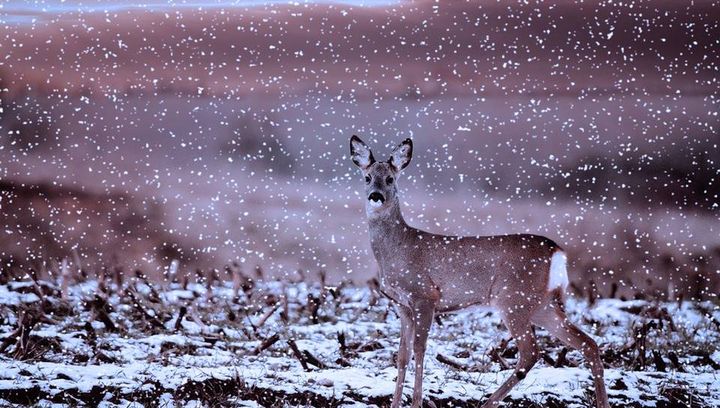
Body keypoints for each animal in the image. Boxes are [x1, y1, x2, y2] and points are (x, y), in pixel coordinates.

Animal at [348, 136, 608, 408]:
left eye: (390, 178)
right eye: (367, 177)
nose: (376, 196)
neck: (398, 248)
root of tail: (557, 252)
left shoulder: (425, 296)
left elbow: (420, 349)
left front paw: (416, 402)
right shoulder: (401, 305)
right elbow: (402, 355)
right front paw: (395, 403)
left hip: (513, 299)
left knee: (531, 352)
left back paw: (488, 402)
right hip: (542, 305)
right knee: (588, 343)